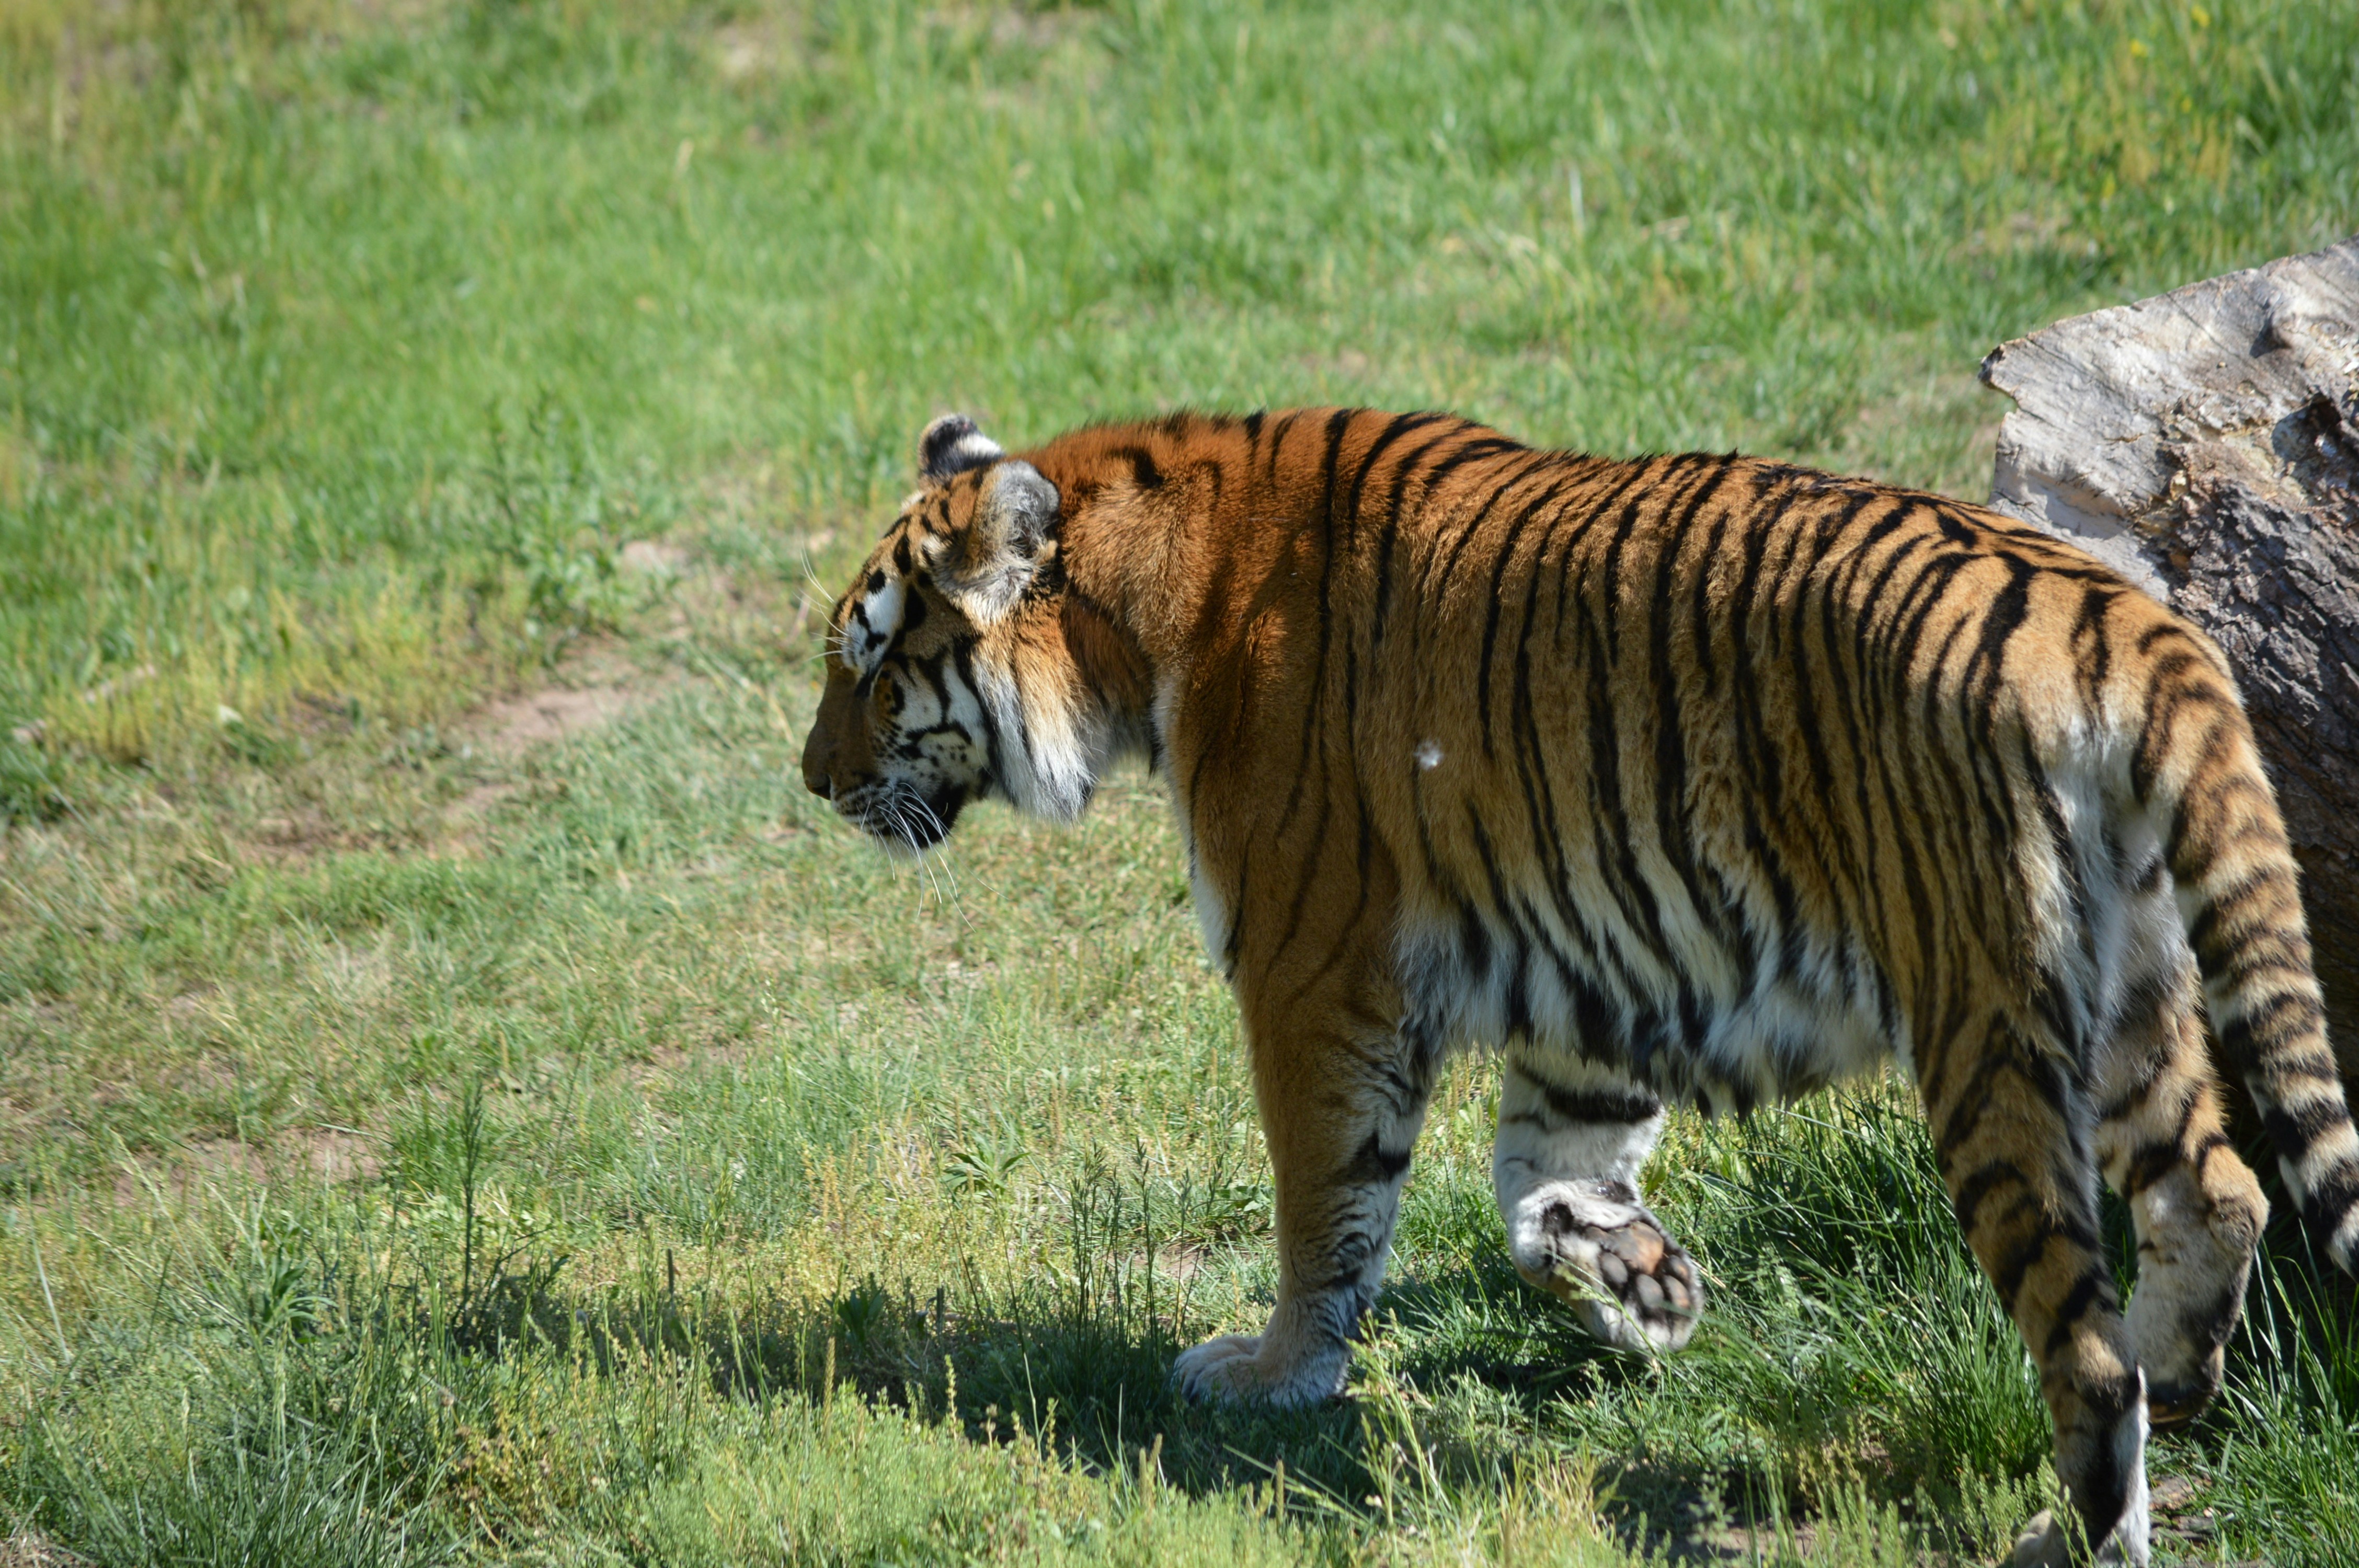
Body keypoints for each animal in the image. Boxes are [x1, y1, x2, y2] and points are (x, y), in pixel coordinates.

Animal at [797, 407, 2359, 1565]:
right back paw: (2178, 1381)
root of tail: (2122, 615)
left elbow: (1325, 1206)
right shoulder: (1595, 967)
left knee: (2084, 1345)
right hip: (2134, 991)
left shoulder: (1314, 967)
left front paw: (1275, 1374)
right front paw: (1647, 1290)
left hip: (1983, 1019)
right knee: (2216, 1195)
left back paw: (2076, 1521)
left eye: (873, 668)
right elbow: (1538, 1187)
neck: (1143, 611)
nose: (810, 784)